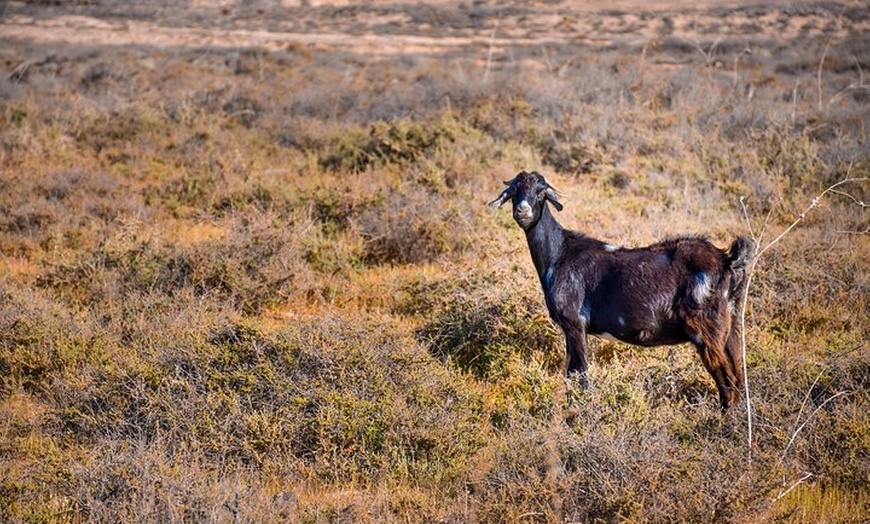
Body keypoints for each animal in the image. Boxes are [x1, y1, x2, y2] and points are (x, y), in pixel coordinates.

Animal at [490, 171, 756, 410]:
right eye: (515, 190)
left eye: (540, 191)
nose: (522, 211)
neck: (560, 254)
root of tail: (726, 260)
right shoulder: (569, 329)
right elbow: (571, 373)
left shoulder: (575, 323)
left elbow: (582, 374)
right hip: (730, 326)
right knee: (737, 375)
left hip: (706, 328)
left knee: (727, 381)